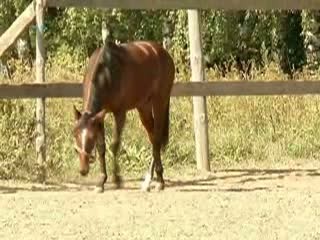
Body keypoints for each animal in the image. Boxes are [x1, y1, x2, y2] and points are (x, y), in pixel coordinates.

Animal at [73, 39, 175, 193]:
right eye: (76, 135)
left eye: (90, 138)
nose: (83, 170)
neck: (107, 72)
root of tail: (164, 54)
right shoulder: (100, 117)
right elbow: (101, 147)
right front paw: (101, 182)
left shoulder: (120, 113)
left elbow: (114, 145)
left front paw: (117, 179)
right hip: (143, 107)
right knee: (153, 139)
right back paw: (148, 180)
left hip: (159, 101)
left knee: (156, 139)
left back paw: (159, 181)